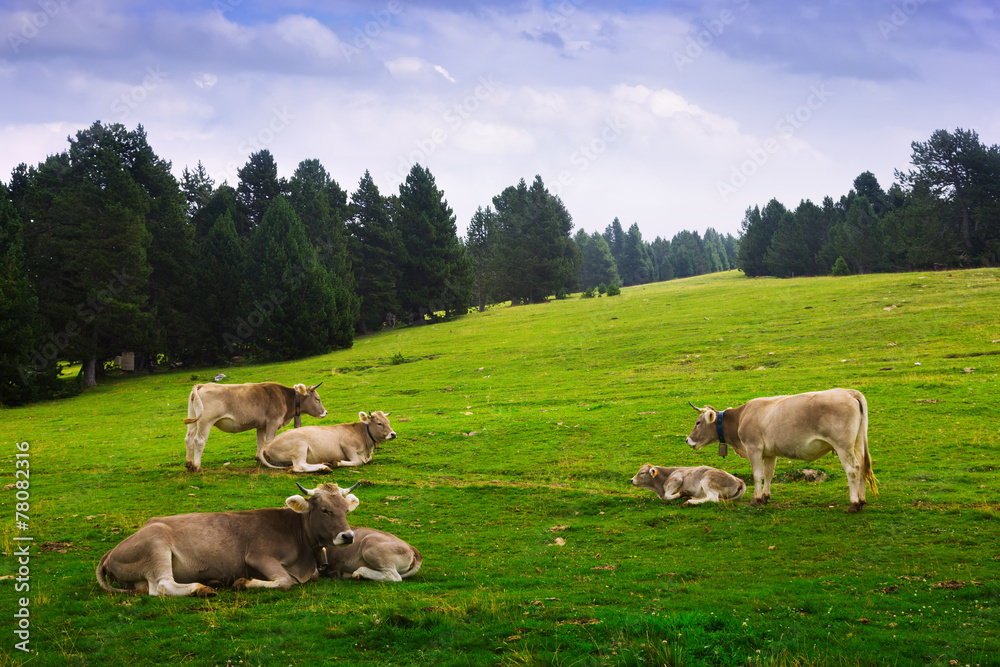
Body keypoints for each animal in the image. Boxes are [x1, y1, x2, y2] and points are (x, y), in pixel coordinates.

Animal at [95, 482, 360, 597]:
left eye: (345, 510)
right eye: (325, 510)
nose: (348, 536)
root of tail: (110, 553)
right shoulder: (258, 556)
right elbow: (285, 581)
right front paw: (243, 582)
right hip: (156, 544)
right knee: (160, 585)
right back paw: (201, 588)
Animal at [183, 382, 327, 472]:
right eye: (317, 399)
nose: (325, 412)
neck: (285, 398)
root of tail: (203, 385)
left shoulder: (261, 425)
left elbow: (260, 441)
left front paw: (259, 458)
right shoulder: (273, 421)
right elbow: (269, 440)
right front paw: (270, 460)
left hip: (193, 421)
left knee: (189, 439)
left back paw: (189, 464)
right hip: (205, 421)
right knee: (199, 441)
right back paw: (197, 467)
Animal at [260, 411, 396, 474]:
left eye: (388, 422)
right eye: (379, 423)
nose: (393, 434)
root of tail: (267, 444)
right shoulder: (347, 446)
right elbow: (358, 461)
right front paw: (337, 462)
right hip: (299, 446)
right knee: (300, 465)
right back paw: (324, 467)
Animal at [685, 388, 878, 512]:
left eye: (698, 422)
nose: (688, 439)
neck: (740, 417)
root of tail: (850, 392)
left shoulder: (754, 447)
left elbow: (757, 475)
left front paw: (755, 499)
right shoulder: (770, 453)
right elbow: (768, 474)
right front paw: (765, 497)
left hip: (843, 445)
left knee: (853, 470)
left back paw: (853, 504)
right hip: (858, 444)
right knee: (862, 468)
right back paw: (862, 500)